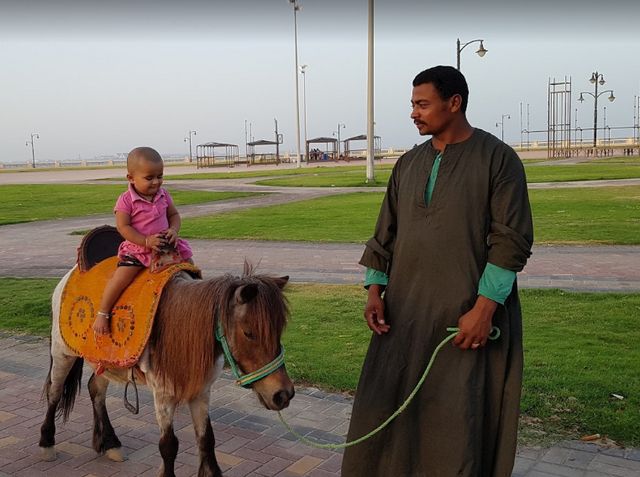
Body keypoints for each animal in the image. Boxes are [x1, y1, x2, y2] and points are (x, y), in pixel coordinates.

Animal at [37, 264, 292, 476]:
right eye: (249, 332)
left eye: (280, 329)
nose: (283, 394)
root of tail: (69, 275)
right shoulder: (163, 395)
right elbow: (168, 446)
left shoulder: (201, 392)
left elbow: (206, 439)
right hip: (62, 353)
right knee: (55, 393)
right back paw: (47, 444)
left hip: (106, 363)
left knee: (95, 390)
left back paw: (110, 443)